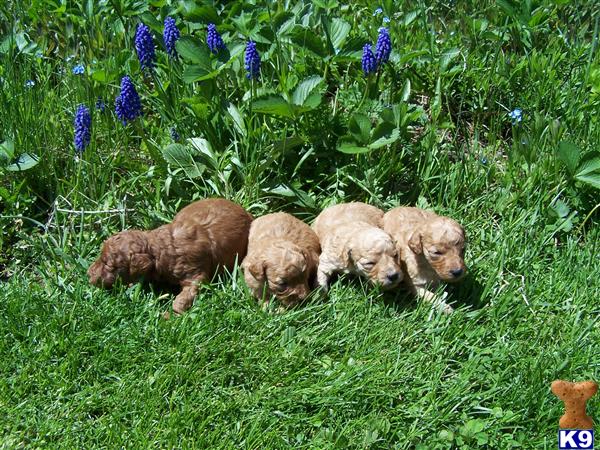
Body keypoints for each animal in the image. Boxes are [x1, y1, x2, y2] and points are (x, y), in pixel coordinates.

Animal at [86, 199, 251, 314]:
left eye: (108, 264)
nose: (88, 274)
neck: (160, 248)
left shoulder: (195, 273)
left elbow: (187, 293)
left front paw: (172, 315)